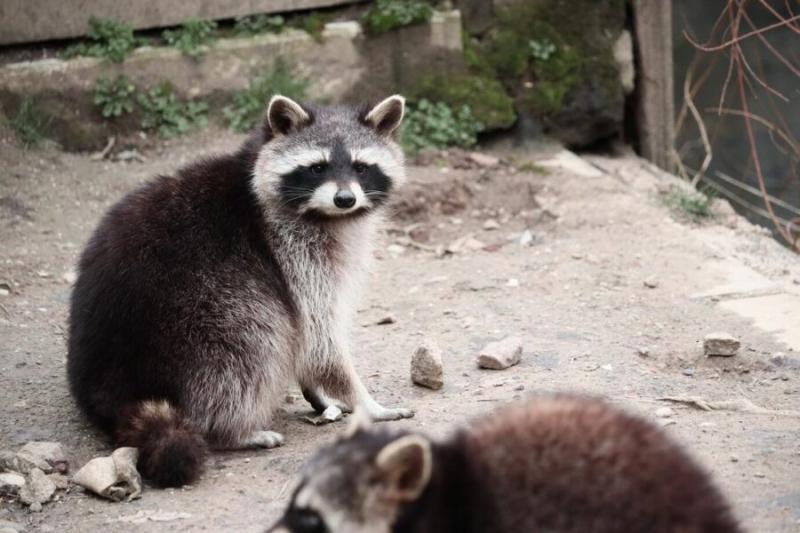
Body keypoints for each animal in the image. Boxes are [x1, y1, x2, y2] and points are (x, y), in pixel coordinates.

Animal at [67, 94, 412, 486]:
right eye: (317, 168)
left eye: (361, 167)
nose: (344, 199)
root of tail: (113, 387)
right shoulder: (293, 253)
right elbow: (318, 340)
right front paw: (366, 403)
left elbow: (308, 343)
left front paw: (321, 394)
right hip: (201, 312)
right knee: (252, 341)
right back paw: (231, 431)